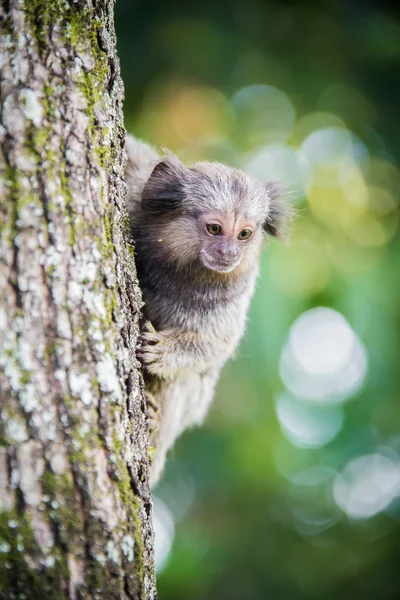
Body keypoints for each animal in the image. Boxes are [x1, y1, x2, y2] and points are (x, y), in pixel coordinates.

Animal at [126, 134, 290, 486]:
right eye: (215, 229)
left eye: (244, 234)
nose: (228, 253)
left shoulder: (231, 300)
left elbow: (213, 346)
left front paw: (163, 351)